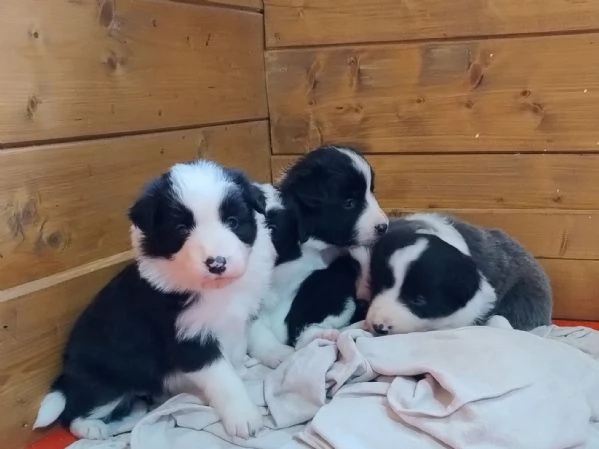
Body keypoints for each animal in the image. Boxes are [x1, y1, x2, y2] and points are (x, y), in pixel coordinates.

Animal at [33, 160, 276, 438]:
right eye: (181, 229)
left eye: (233, 222)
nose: (217, 263)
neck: (217, 290)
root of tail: (66, 373)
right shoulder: (189, 341)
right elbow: (225, 379)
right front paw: (243, 416)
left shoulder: (246, 309)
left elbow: (259, 333)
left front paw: (279, 354)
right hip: (108, 380)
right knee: (72, 411)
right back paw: (92, 428)